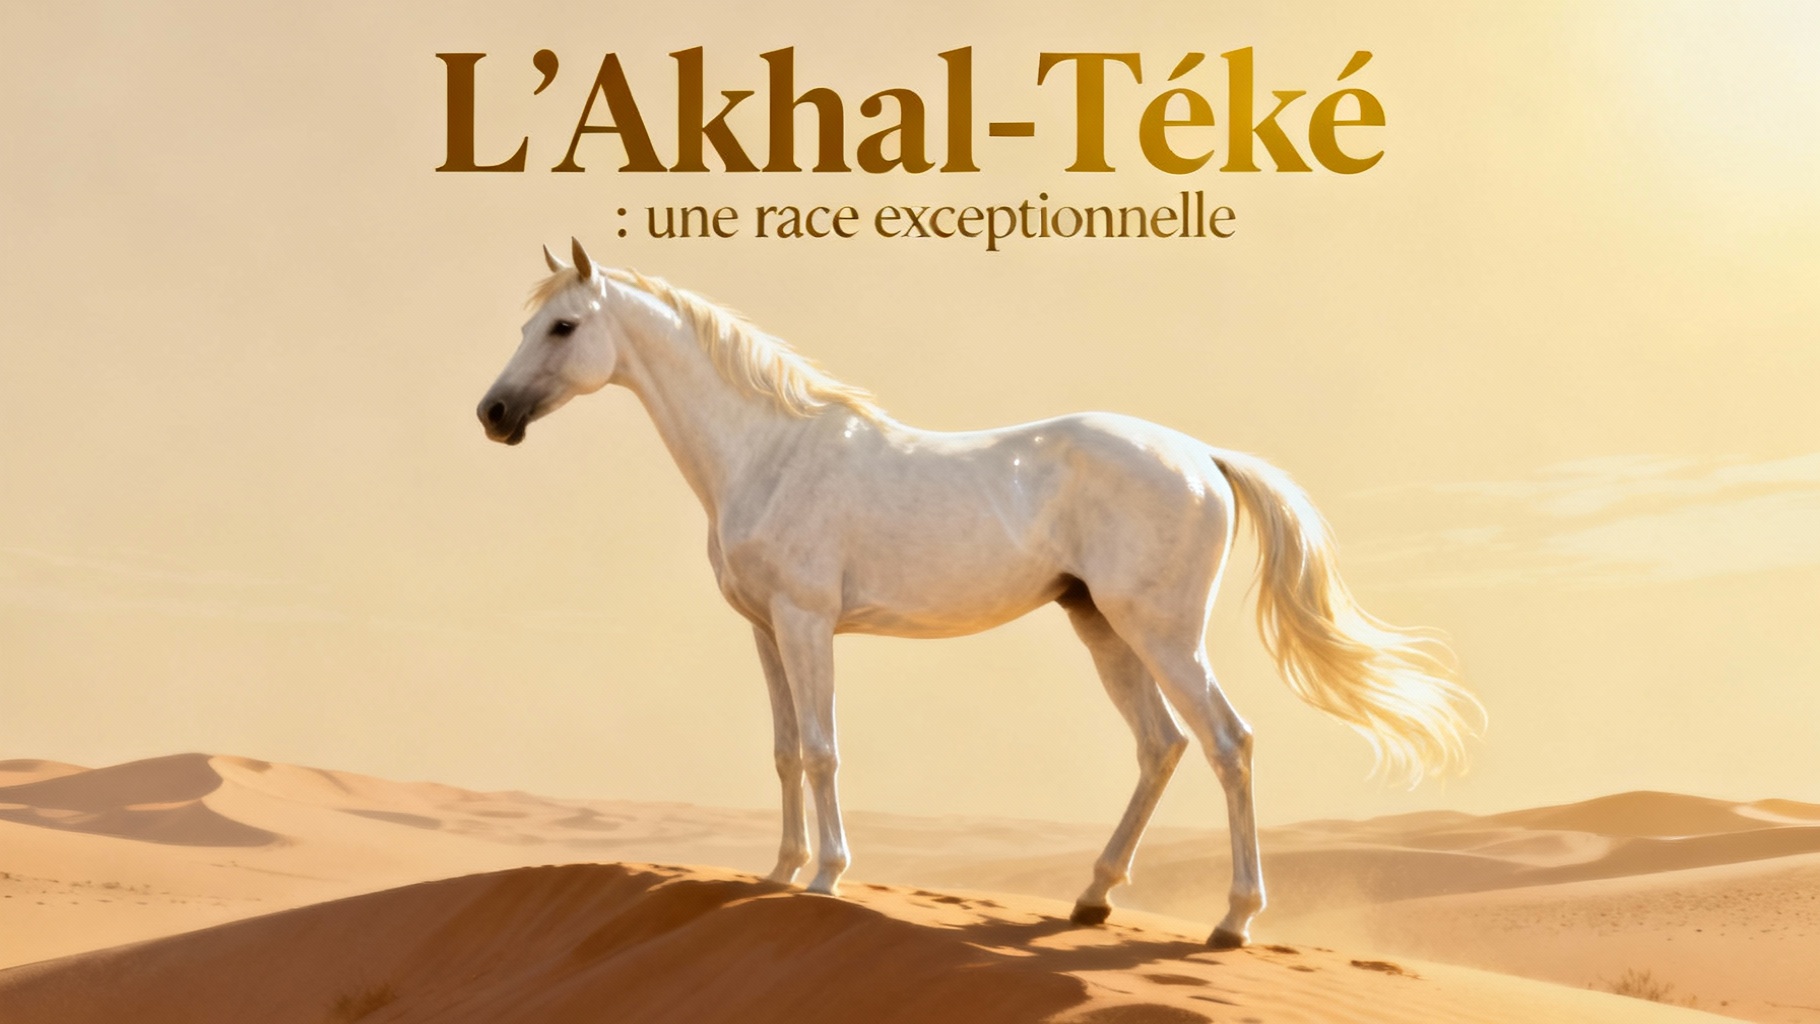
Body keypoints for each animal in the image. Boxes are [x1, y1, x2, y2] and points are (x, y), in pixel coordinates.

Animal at [476, 238, 1483, 948]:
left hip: (1162, 632)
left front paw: (826, 875)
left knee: (1227, 743)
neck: (770, 453)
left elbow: (822, 750)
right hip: (1101, 628)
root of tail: (1202, 456)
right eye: (526, 326)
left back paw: (1232, 921)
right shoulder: (765, 632)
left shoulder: (807, 623)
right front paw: (778, 872)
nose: (492, 414)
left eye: (563, 327)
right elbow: (784, 752)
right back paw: (1090, 899)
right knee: (1160, 747)